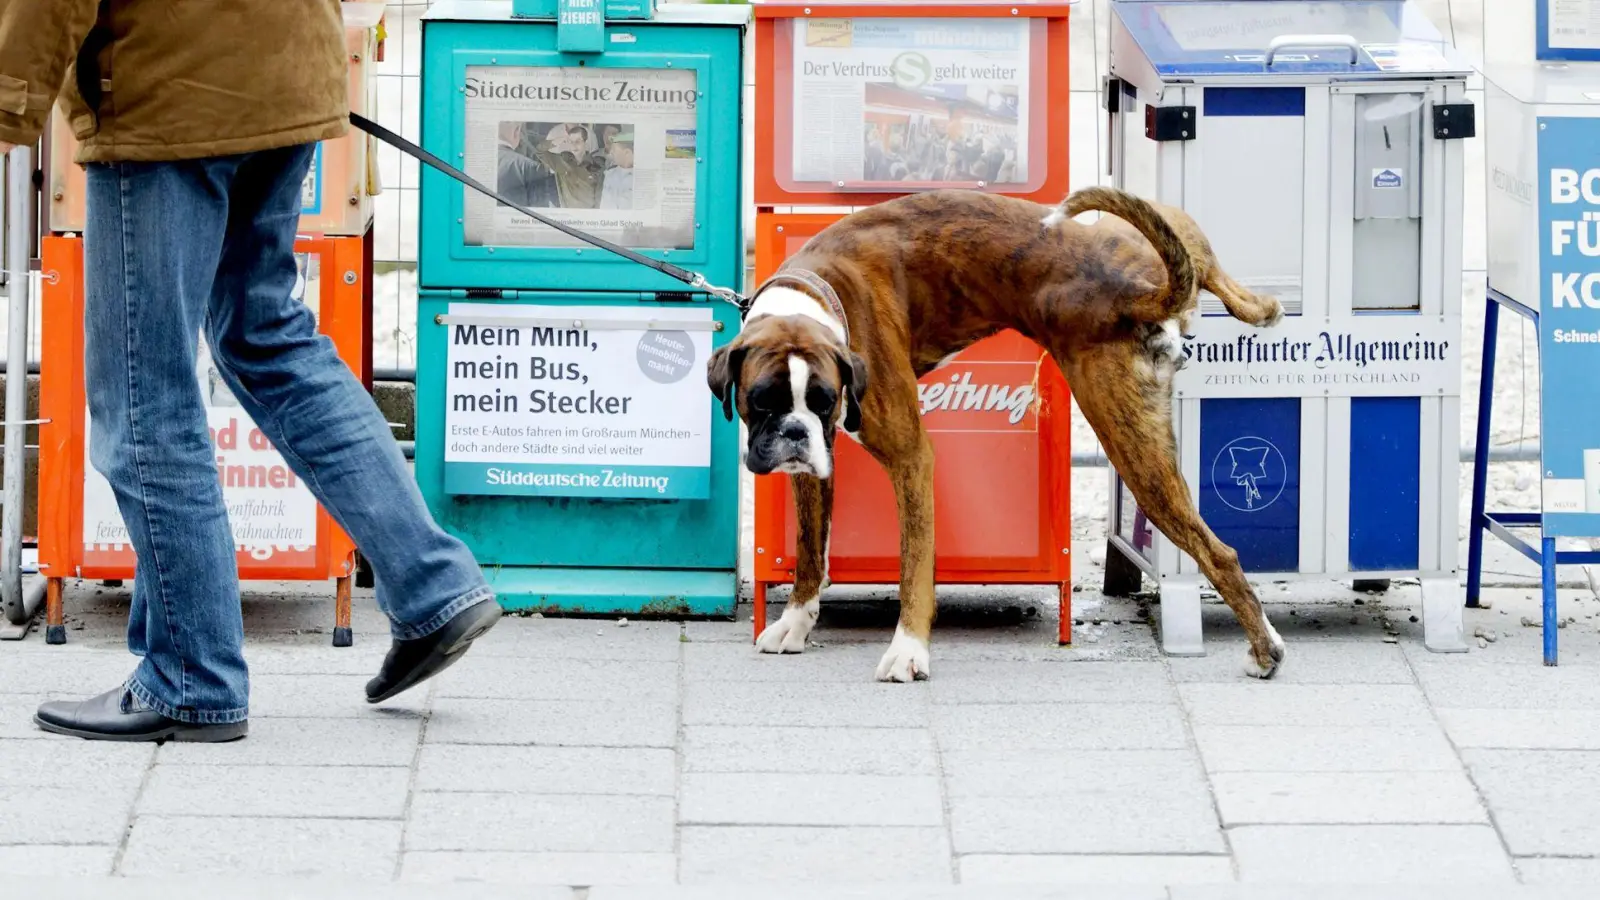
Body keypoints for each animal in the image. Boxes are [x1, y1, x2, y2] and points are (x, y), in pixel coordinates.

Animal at [710, 184, 1286, 679]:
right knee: (1194, 248)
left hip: (1133, 450)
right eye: (760, 401)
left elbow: (913, 563)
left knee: (1219, 552)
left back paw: (1264, 650)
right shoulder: (812, 469)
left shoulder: (910, 457)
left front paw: (908, 650)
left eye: (825, 400)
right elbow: (810, 547)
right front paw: (795, 621)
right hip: (1138, 247)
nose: (794, 433)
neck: (820, 292)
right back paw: (1261, 306)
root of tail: (1137, 291)